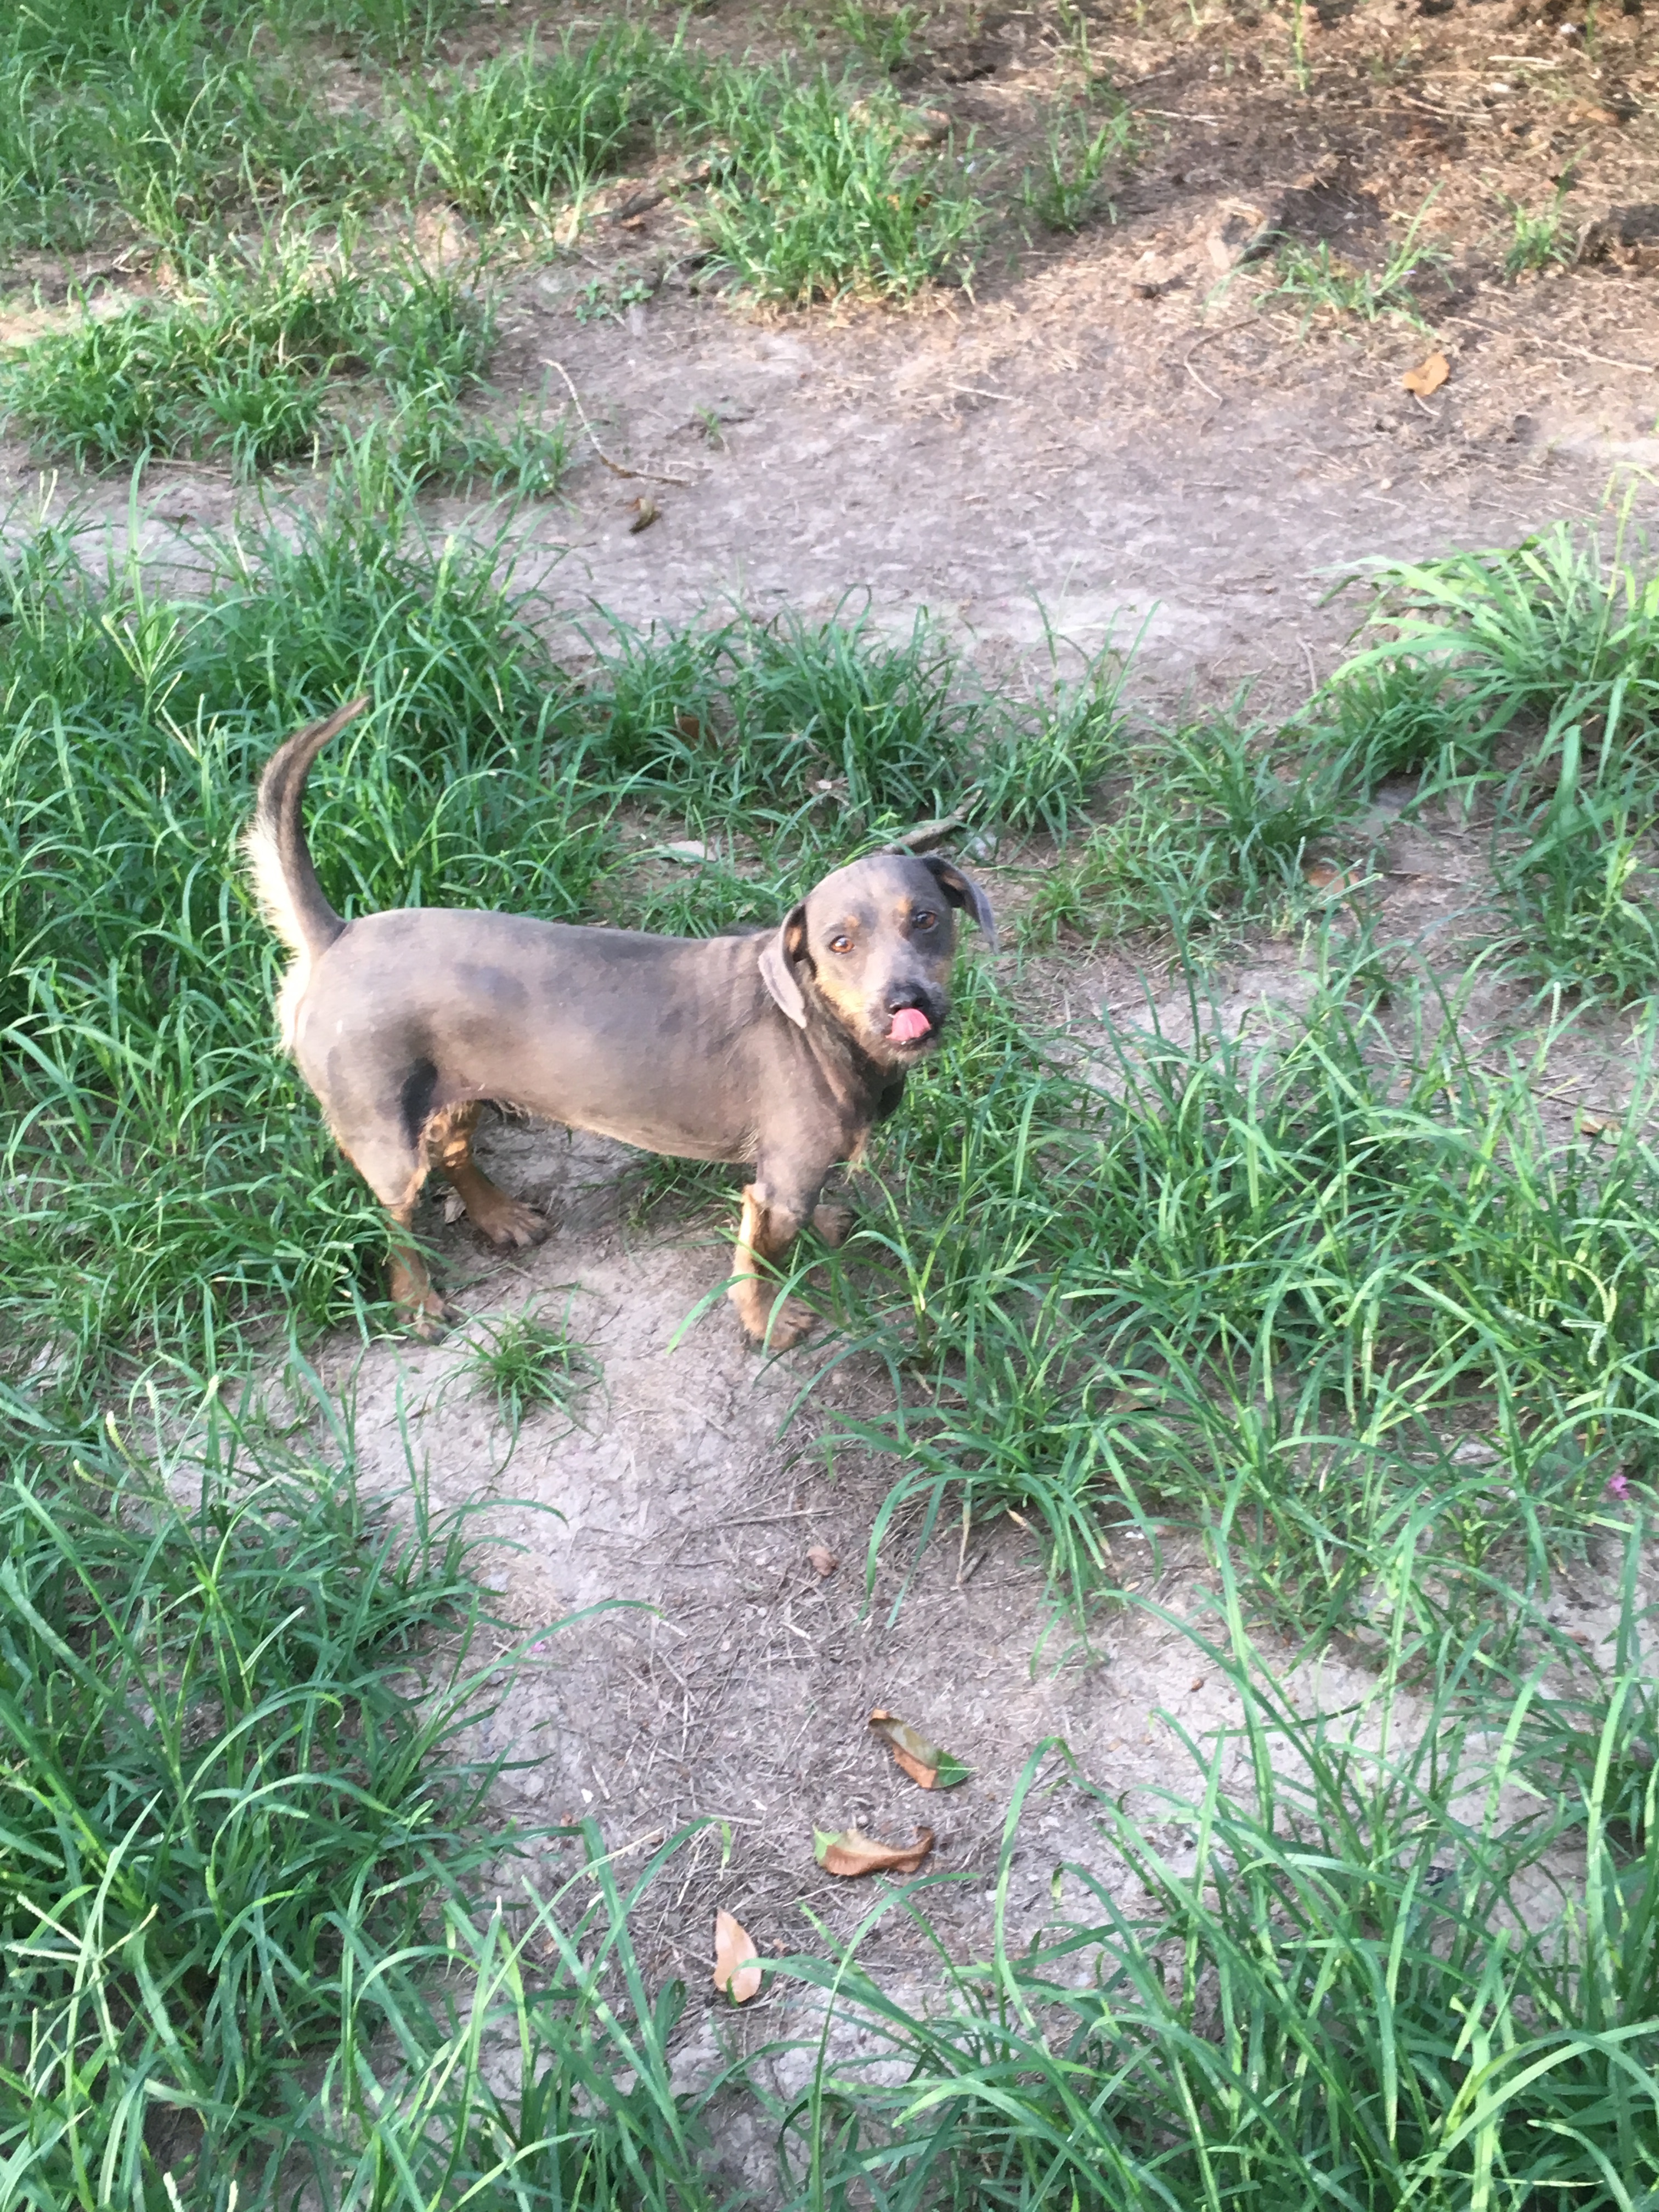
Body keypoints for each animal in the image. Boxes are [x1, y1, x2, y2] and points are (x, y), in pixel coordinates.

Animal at [246, 699, 995, 1336]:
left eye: (926, 920)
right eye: (839, 943)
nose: (905, 1002)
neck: (826, 1032)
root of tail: (335, 936)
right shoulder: (777, 1187)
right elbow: (760, 1262)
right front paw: (768, 1324)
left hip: (459, 1094)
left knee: (454, 1153)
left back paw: (499, 1216)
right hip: (385, 1143)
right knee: (396, 1229)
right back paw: (418, 1303)